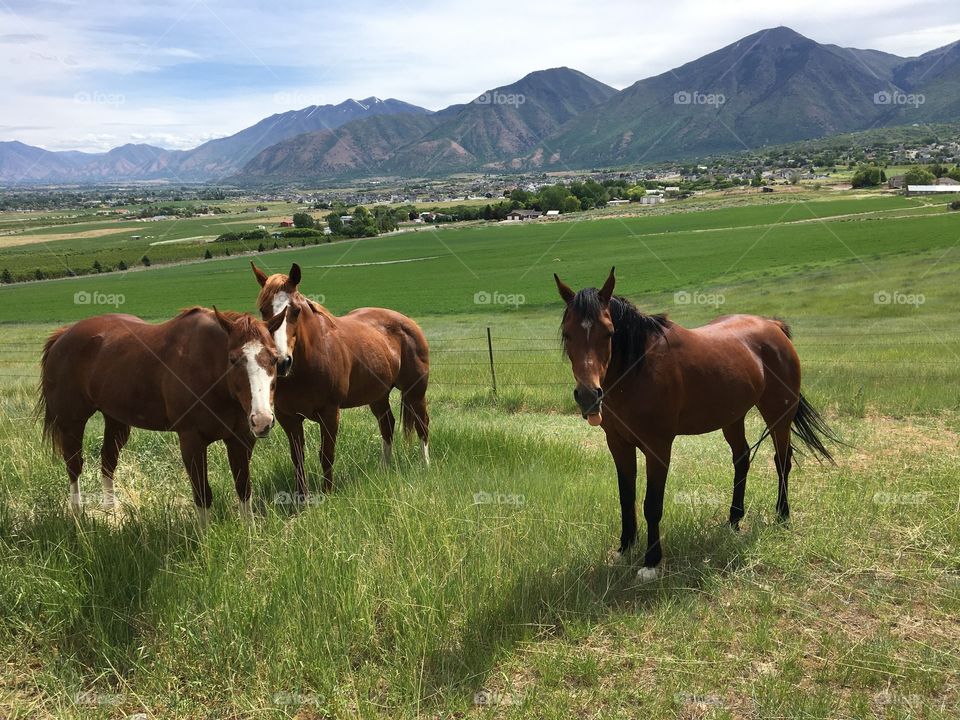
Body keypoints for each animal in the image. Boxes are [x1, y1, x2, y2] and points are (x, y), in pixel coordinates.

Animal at [38, 306, 288, 522]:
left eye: (274, 358)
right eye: (233, 360)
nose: (262, 420)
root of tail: (63, 334)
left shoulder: (241, 439)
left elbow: (244, 488)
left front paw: (249, 536)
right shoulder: (191, 441)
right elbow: (202, 494)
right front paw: (205, 542)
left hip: (116, 421)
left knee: (108, 459)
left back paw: (111, 511)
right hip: (71, 422)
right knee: (74, 465)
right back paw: (77, 515)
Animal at [250, 262, 430, 496]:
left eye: (296, 311)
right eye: (263, 310)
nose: (281, 362)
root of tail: (409, 322)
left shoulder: (329, 413)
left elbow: (326, 455)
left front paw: (327, 493)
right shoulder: (288, 417)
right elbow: (297, 459)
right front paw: (301, 497)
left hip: (415, 391)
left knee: (422, 424)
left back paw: (425, 465)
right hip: (378, 395)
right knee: (387, 425)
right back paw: (384, 468)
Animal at [555, 268, 838, 580]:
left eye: (609, 332)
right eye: (568, 333)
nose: (588, 396)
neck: (639, 367)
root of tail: (773, 326)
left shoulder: (658, 446)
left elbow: (652, 503)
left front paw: (651, 562)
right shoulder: (618, 444)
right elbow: (626, 497)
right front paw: (625, 549)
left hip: (778, 414)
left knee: (782, 460)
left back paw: (782, 515)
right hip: (733, 417)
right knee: (742, 458)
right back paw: (733, 520)